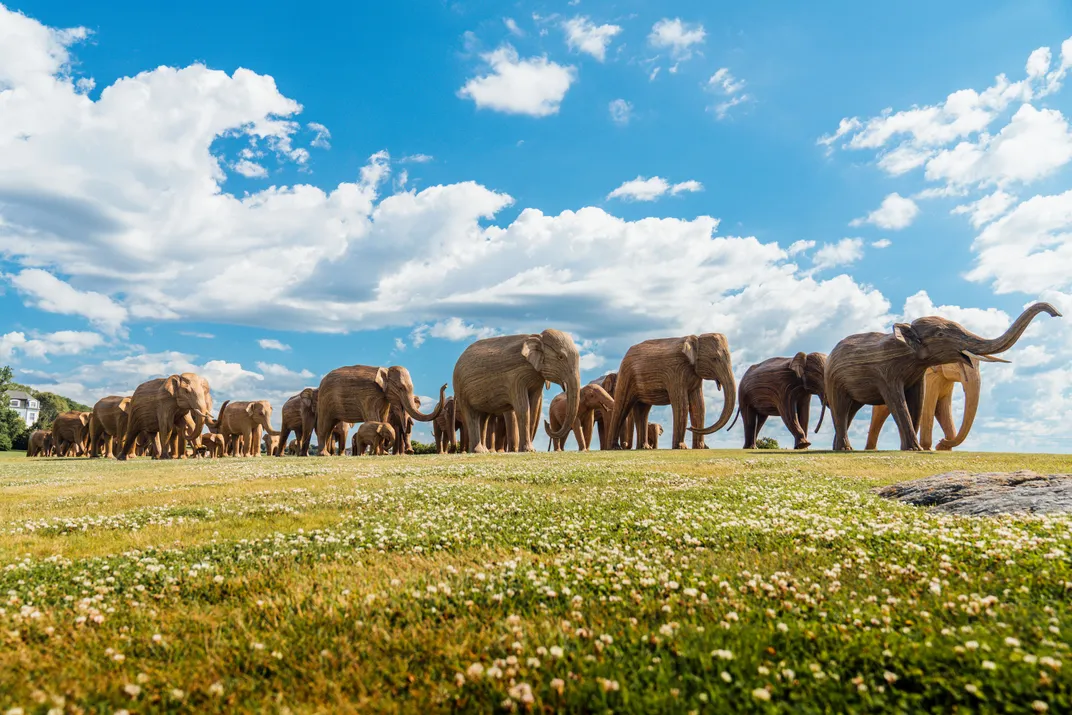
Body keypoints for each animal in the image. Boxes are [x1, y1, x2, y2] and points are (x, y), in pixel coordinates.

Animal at [313, 364, 443, 452]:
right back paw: (324, 454)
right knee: (324, 425)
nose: (444, 385)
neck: (385, 370)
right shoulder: (369, 395)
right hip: (324, 400)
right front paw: (382, 452)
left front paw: (383, 453)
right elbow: (373, 417)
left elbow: (383, 418)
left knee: (329, 427)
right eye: (400, 387)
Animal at [823, 304, 1059, 450]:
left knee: (849, 410)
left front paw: (916, 449)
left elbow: (917, 400)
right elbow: (900, 402)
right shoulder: (887, 371)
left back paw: (841, 448)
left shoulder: (920, 375)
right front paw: (917, 448)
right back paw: (846, 449)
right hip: (833, 378)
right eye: (941, 334)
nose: (1056, 313)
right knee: (841, 408)